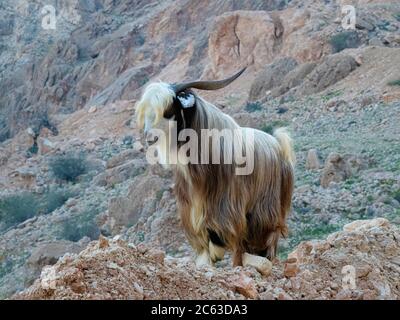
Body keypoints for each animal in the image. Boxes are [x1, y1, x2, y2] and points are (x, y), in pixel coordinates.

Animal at [136, 68, 296, 276]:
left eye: (168, 108)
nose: (149, 137)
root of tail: (278, 143)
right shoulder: (190, 204)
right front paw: (205, 260)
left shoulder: (225, 203)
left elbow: (217, 234)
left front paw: (215, 254)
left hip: (266, 207)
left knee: (265, 236)